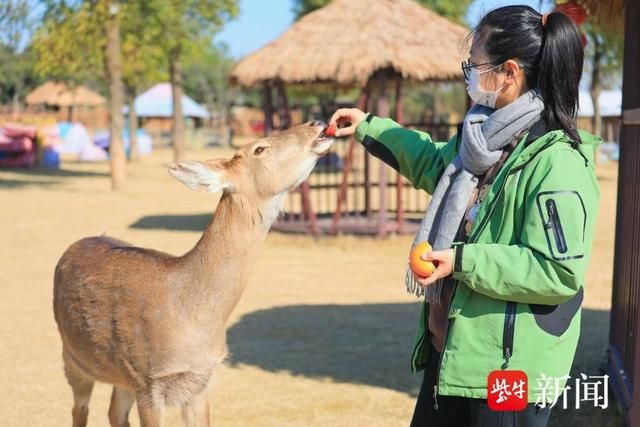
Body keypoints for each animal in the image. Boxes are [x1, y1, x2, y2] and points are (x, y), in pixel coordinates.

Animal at [53, 121, 332, 427]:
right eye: (259, 149)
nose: (317, 124)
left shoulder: (200, 380)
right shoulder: (148, 378)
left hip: (120, 375)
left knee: (114, 412)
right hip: (72, 357)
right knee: (80, 410)